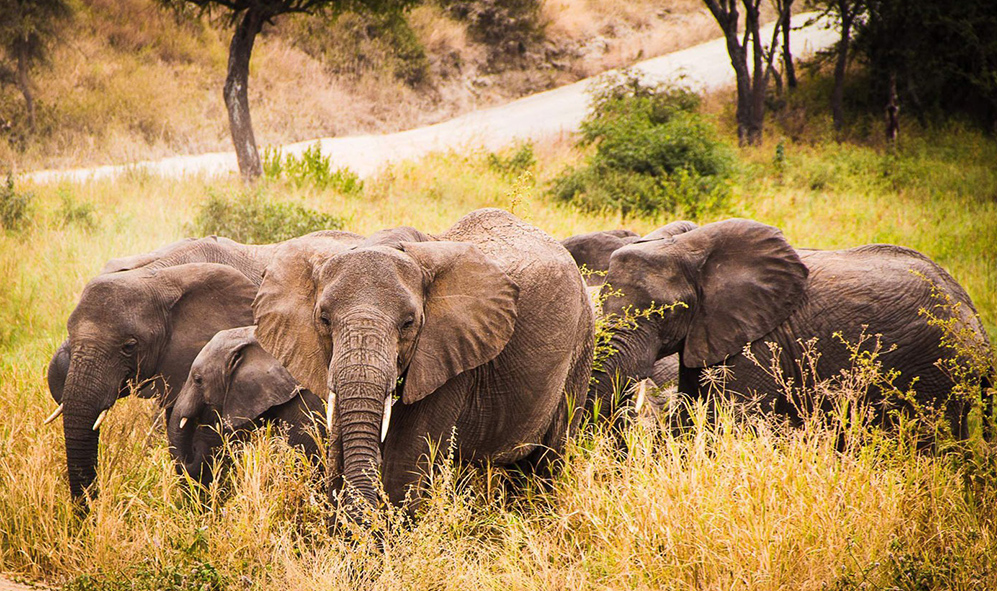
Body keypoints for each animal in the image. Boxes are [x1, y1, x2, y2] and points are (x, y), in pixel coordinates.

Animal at [253, 209, 592, 524]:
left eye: (409, 323)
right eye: (323, 319)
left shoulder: (451, 352)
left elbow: (404, 465)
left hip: (581, 344)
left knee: (548, 461)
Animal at [592, 220, 988, 438]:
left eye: (664, 312)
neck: (689, 247)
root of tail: (974, 318)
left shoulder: (758, 341)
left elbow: (731, 420)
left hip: (936, 370)